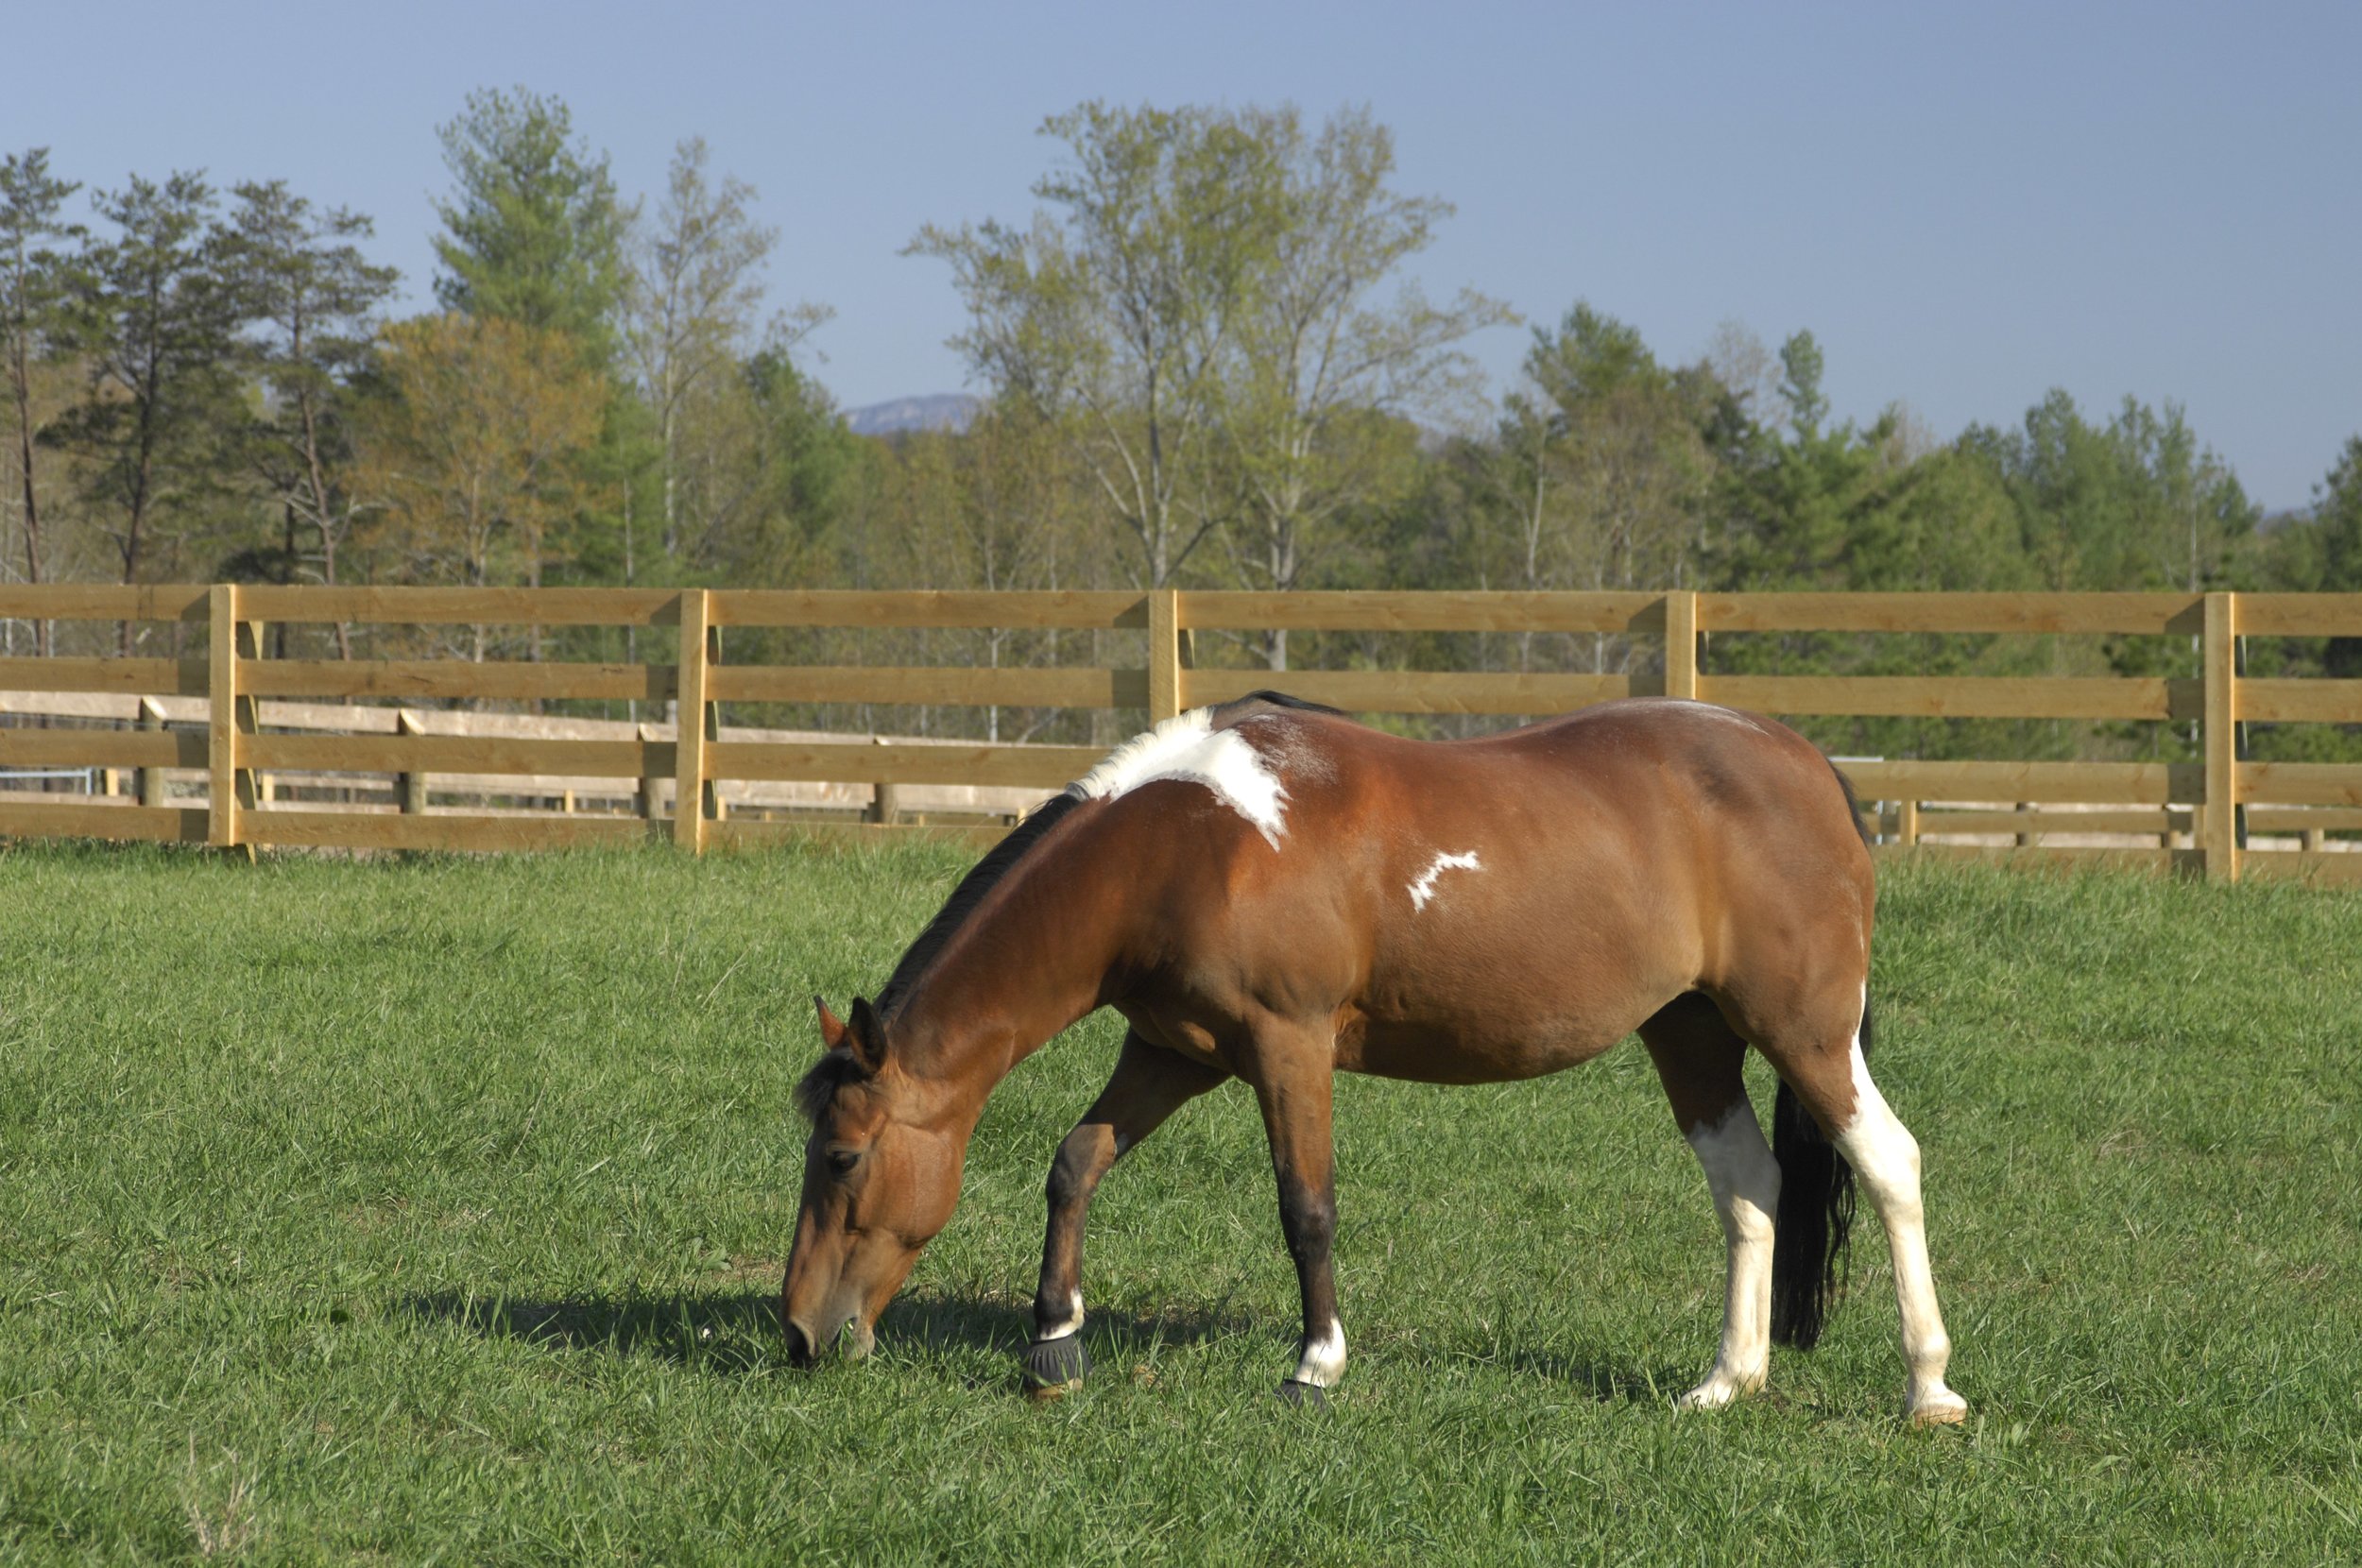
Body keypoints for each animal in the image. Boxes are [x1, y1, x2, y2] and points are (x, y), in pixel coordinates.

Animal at [784, 694, 1965, 1426]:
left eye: (841, 1159)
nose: (800, 1334)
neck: (1183, 843)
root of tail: (1805, 762)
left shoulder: (1287, 1046)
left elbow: (1305, 1206)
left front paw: (1316, 1365)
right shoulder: (1173, 1051)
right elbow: (1076, 1162)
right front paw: (1054, 1343)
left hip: (1802, 1029)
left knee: (1891, 1162)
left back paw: (1927, 1388)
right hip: (1691, 1031)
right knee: (1749, 1185)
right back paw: (1728, 1379)